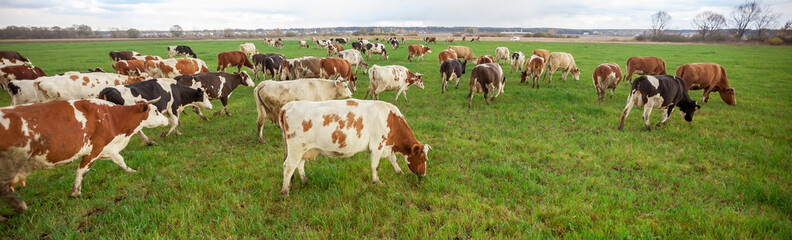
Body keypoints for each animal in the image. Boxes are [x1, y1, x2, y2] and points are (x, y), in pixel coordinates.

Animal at [0, 97, 169, 214]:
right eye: (156, 111)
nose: (167, 120)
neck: (112, 118)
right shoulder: (94, 149)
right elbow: (82, 171)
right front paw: (76, 192)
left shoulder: (108, 148)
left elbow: (120, 160)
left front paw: (131, 171)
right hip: (11, 164)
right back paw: (19, 205)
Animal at [276, 99, 430, 197]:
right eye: (422, 160)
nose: (423, 174)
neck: (391, 119)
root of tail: (289, 105)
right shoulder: (377, 145)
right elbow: (375, 165)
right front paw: (377, 181)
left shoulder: (387, 146)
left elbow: (393, 159)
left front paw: (399, 172)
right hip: (296, 147)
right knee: (289, 166)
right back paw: (285, 192)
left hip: (304, 149)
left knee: (299, 165)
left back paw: (305, 181)